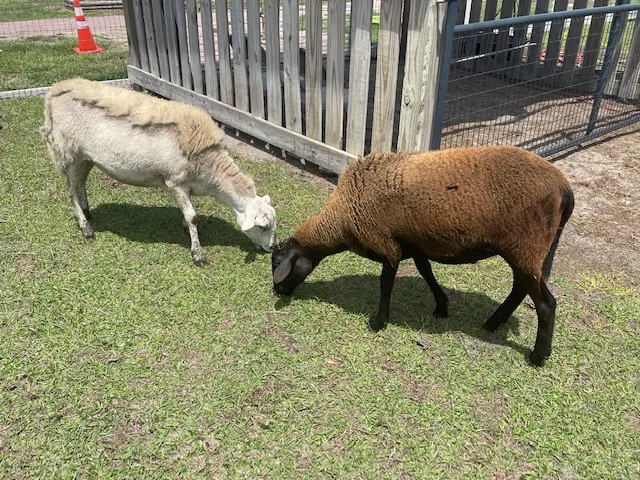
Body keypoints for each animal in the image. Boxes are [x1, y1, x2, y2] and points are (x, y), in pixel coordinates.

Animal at [42, 79, 278, 266]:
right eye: (263, 226)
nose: (273, 248)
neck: (210, 168)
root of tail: (55, 91)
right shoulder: (175, 182)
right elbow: (192, 217)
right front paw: (198, 255)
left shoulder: (187, 185)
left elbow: (189, 214)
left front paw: (185, 228)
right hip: (69, 151)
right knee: (71, 191)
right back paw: (86, 228)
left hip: (85, 157)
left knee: (80, 184)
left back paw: (87, 212)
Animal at [272, 146, 576, 368]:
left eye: (277, 264)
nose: (277, 291)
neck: (342, 217)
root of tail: (565, 189)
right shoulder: (413, 245)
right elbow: (426, 272)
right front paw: (442, 306)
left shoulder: (386, 245)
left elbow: (386, 286)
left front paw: (378, 322)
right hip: (526, 251)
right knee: (520, 288)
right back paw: (492, 323)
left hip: (526, 246)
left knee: (546, 304)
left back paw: (538, 356)